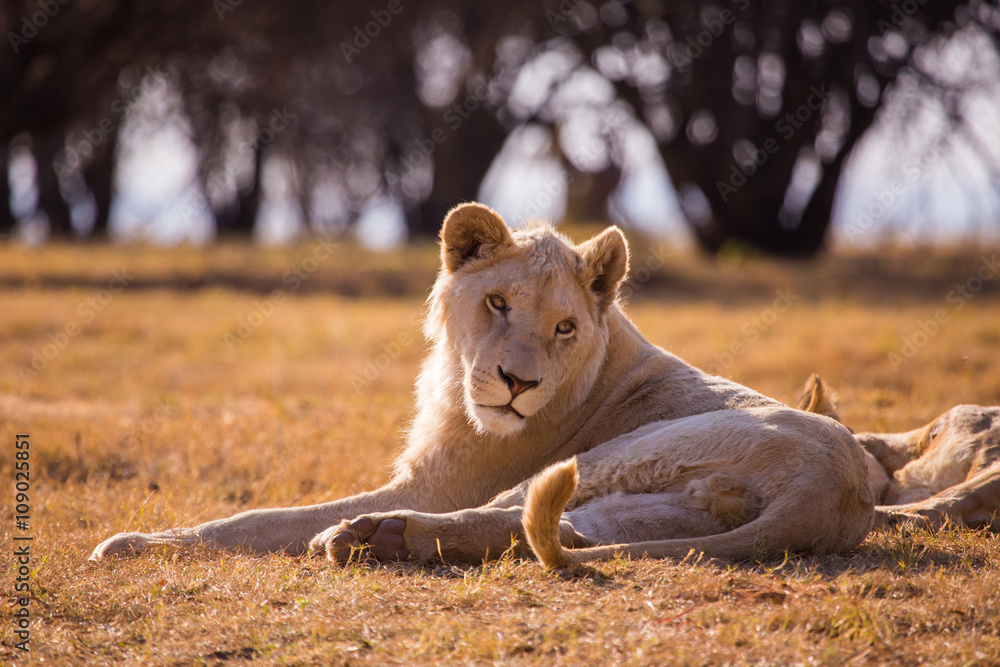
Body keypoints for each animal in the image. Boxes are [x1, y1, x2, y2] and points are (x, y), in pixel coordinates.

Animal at [91, 202, 874, 565]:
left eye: (564, 326)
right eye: (498, 303)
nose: (518, 383)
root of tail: (833, 491)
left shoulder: (438, 484)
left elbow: (256, 520)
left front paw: (132, 542)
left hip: (616, 455)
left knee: (514, 516)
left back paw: (367, 535)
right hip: (655, 504)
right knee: (563, 530)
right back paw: (382, 539)